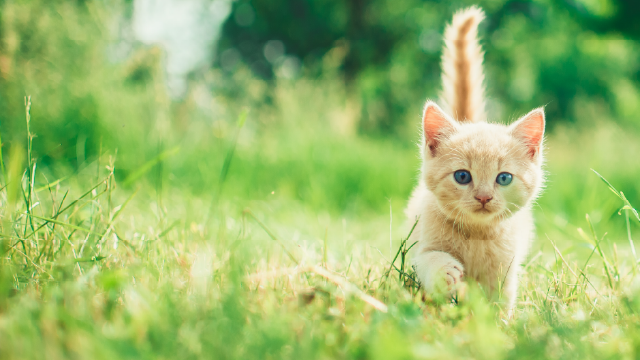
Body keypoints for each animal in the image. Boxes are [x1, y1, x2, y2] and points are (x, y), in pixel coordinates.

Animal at [410, 6, 544, 310]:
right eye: (462, 176)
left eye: (503, 178)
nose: (484, 197)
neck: (475, 235)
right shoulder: (420, 245)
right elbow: (427, 259)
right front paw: (445, 271)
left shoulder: (506, 269)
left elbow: (500, 302)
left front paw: (497, 321)